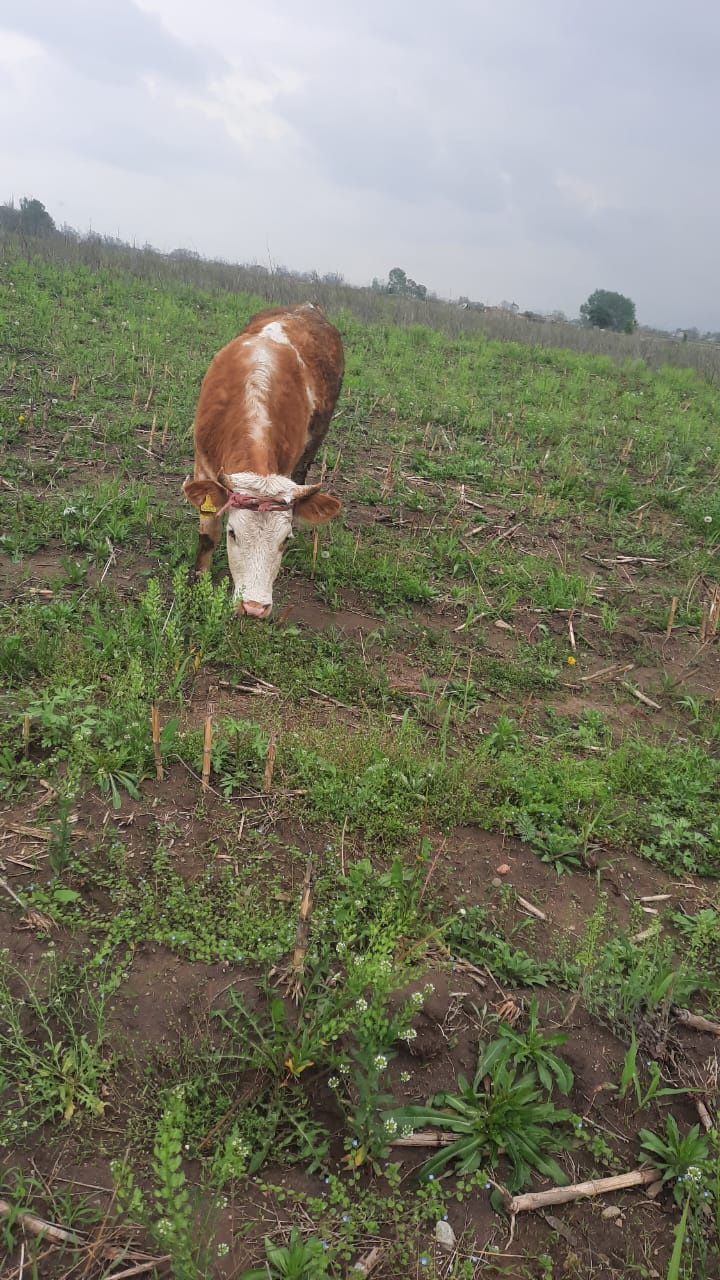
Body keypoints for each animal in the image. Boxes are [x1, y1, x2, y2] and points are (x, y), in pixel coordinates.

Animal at [183, 302, 343, 616]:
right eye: (232, 533)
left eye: (285, 540)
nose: (254, 607)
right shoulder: (203, 465)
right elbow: (208, 535)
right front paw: (197, 584)